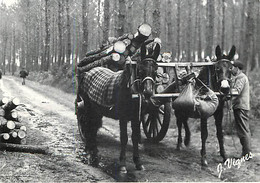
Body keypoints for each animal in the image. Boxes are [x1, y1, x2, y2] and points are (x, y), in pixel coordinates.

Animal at [76, 42, 159, 173]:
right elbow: (124, 138)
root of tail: (88, 72)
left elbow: (135, 137)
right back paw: (89, 149)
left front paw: (138, 162)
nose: (148, 92)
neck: (130, 89)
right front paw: (123, 165)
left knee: (93, 126)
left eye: (156, 69)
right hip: (87, 108)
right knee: (87, 124)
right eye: (141, 69)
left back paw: (93, 149)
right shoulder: (123, 117)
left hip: (96, 110)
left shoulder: (137, 118)